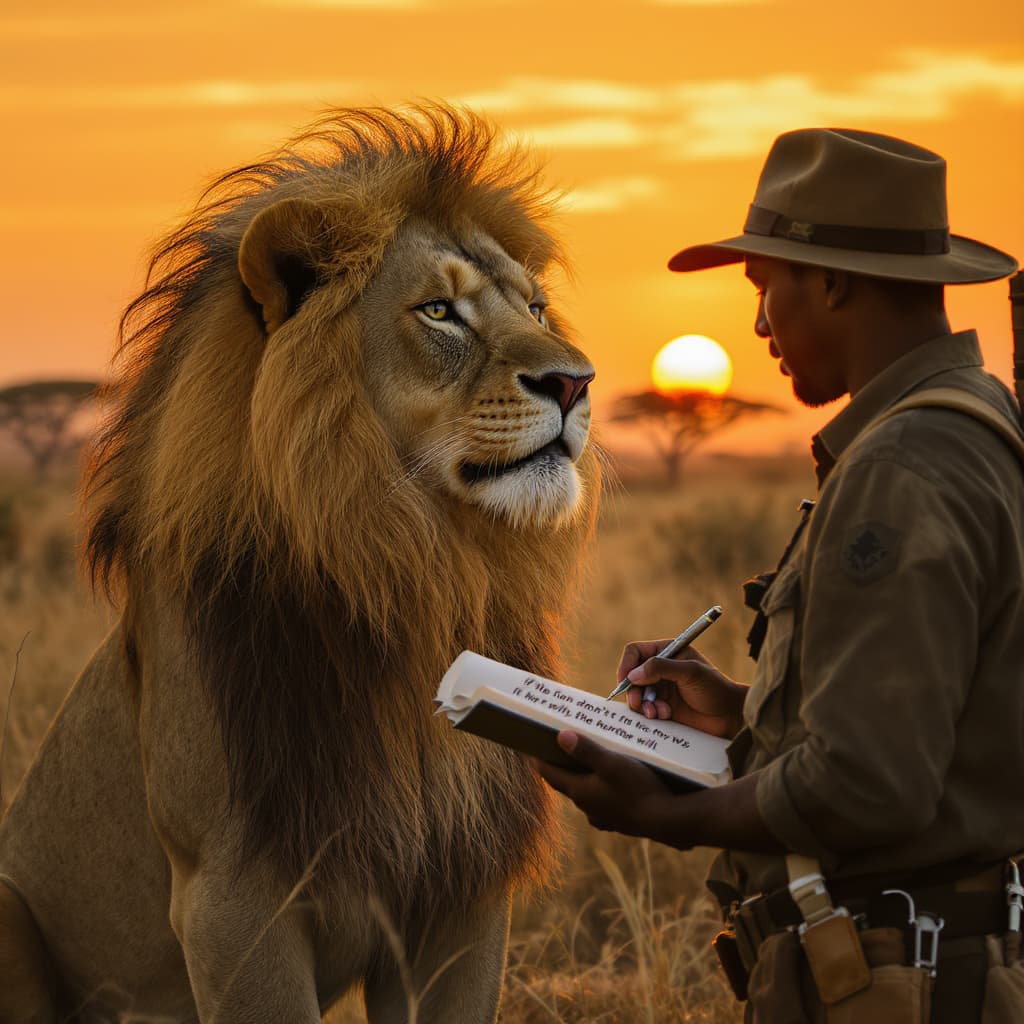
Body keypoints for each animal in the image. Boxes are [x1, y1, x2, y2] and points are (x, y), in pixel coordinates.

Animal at [0, 106, 599, 1023]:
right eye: (439, 311)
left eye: (535, 305)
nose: (577, 382)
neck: (419, 574)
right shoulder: (230, 897)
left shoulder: (461, 888)